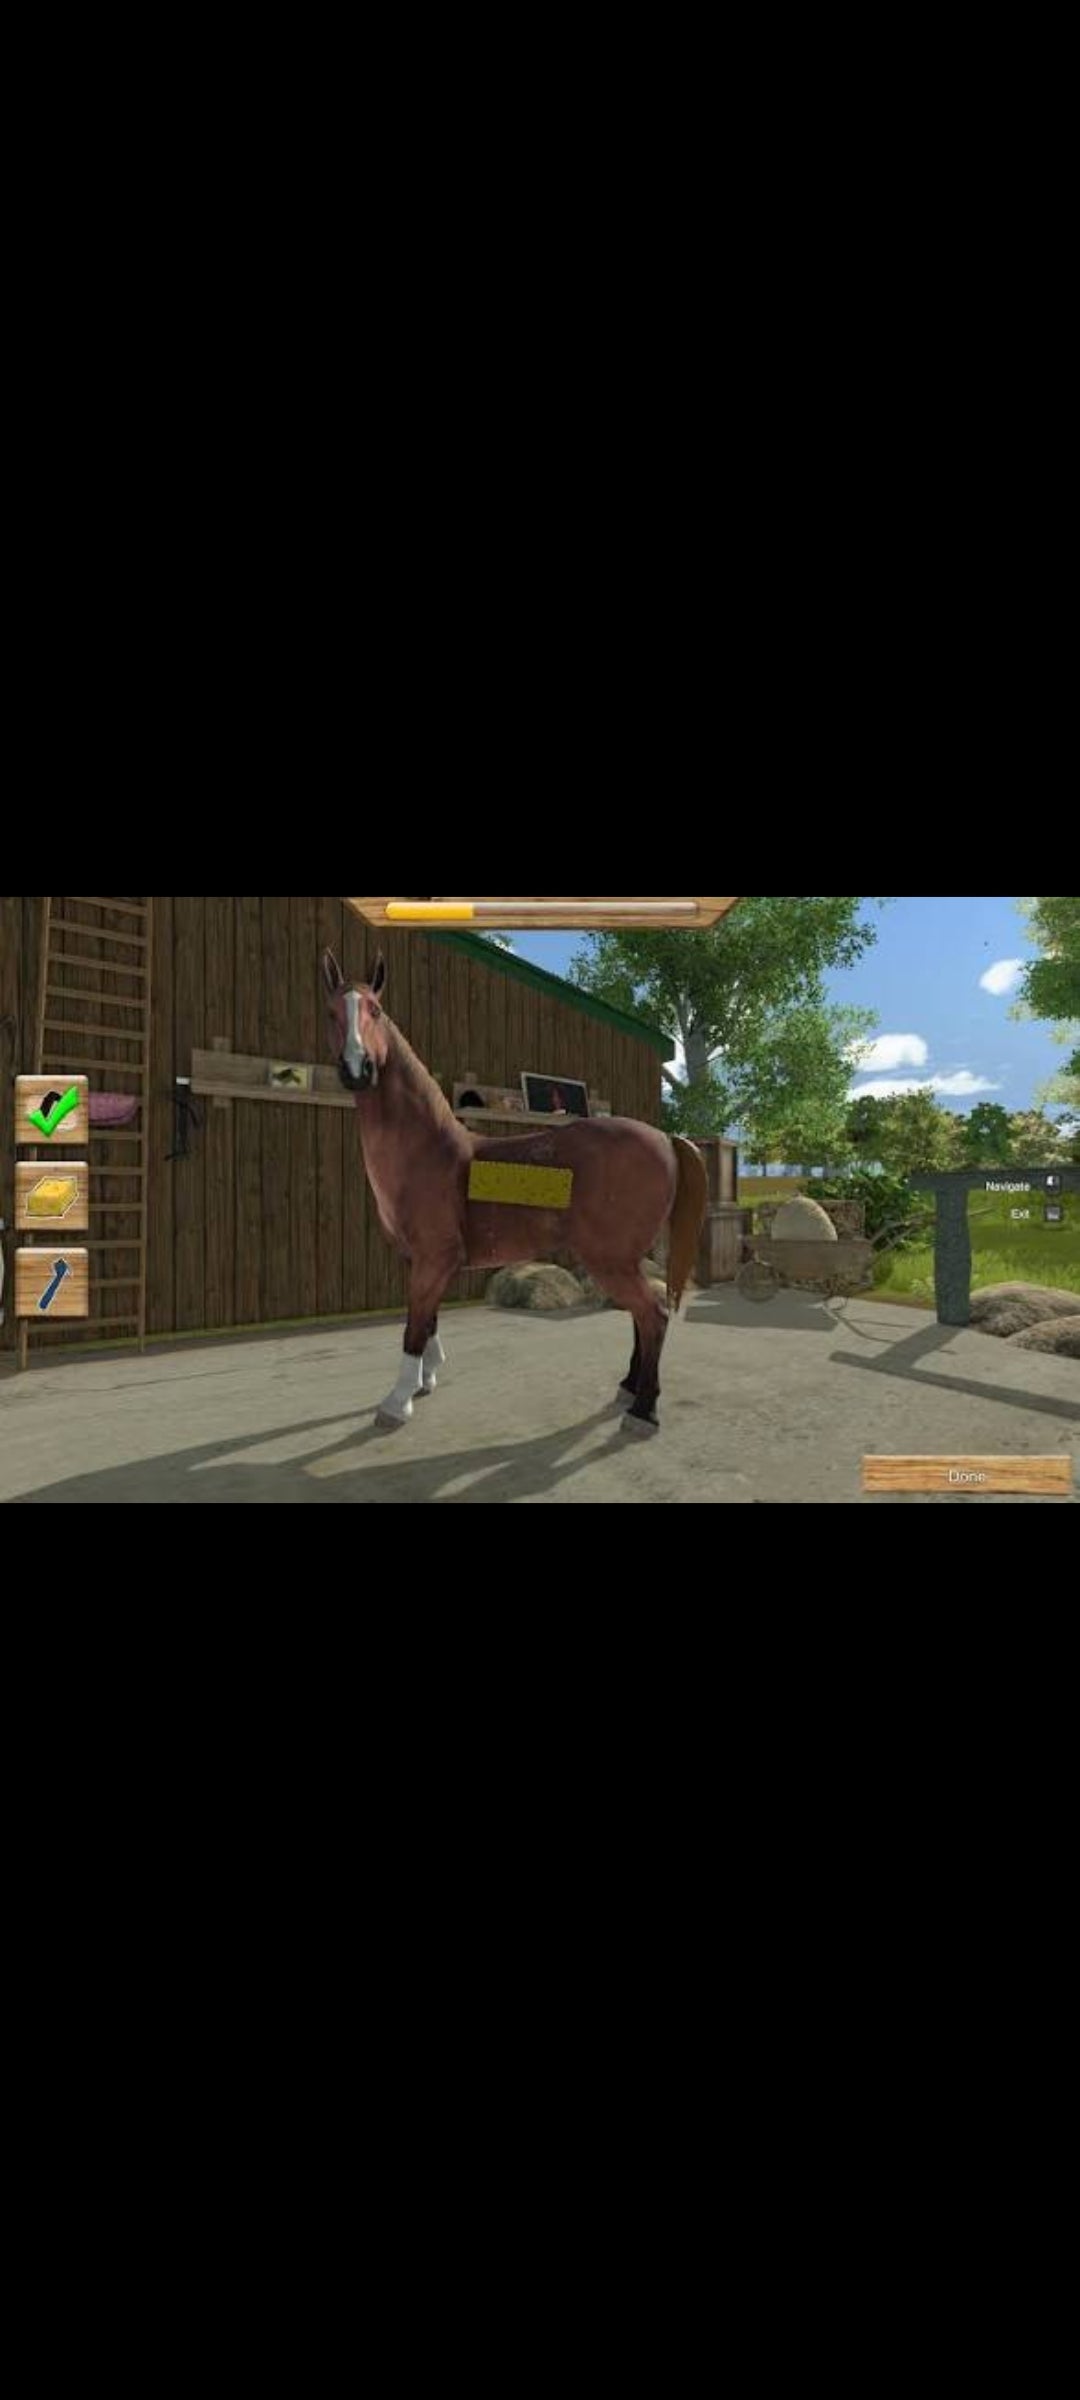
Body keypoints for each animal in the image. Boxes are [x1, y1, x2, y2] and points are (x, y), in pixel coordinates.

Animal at [323, 948, 707, 1433]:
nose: (358, 1070)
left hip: (610, 1259)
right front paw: (425, 1382)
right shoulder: (423, 1260)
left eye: (374, 1010)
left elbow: (413, 1327)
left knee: (652, 1314)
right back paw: (628, 1388)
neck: (427, 1150)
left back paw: (643, 1410)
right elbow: (428, 1321)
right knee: (643, 1314)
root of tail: (664, 1139)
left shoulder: (433, 1258)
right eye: (331, 1013)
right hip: (623, 1258)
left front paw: (396, 1403)